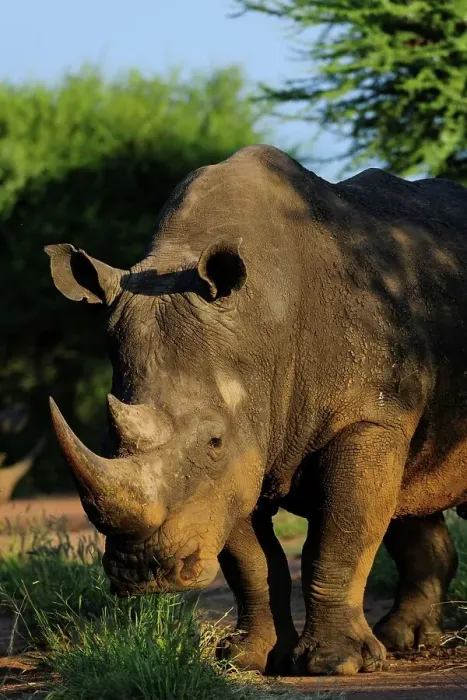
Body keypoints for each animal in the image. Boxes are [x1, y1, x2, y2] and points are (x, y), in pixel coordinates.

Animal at [45, 145, 467, 676]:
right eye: (108, 434)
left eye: (212, 441)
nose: (145, 572)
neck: (261, 322)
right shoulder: (243, 450)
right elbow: (250, 557)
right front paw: (250, 658)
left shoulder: (365, 416)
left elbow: (341, 534)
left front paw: (335, 665)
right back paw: (403, 640)